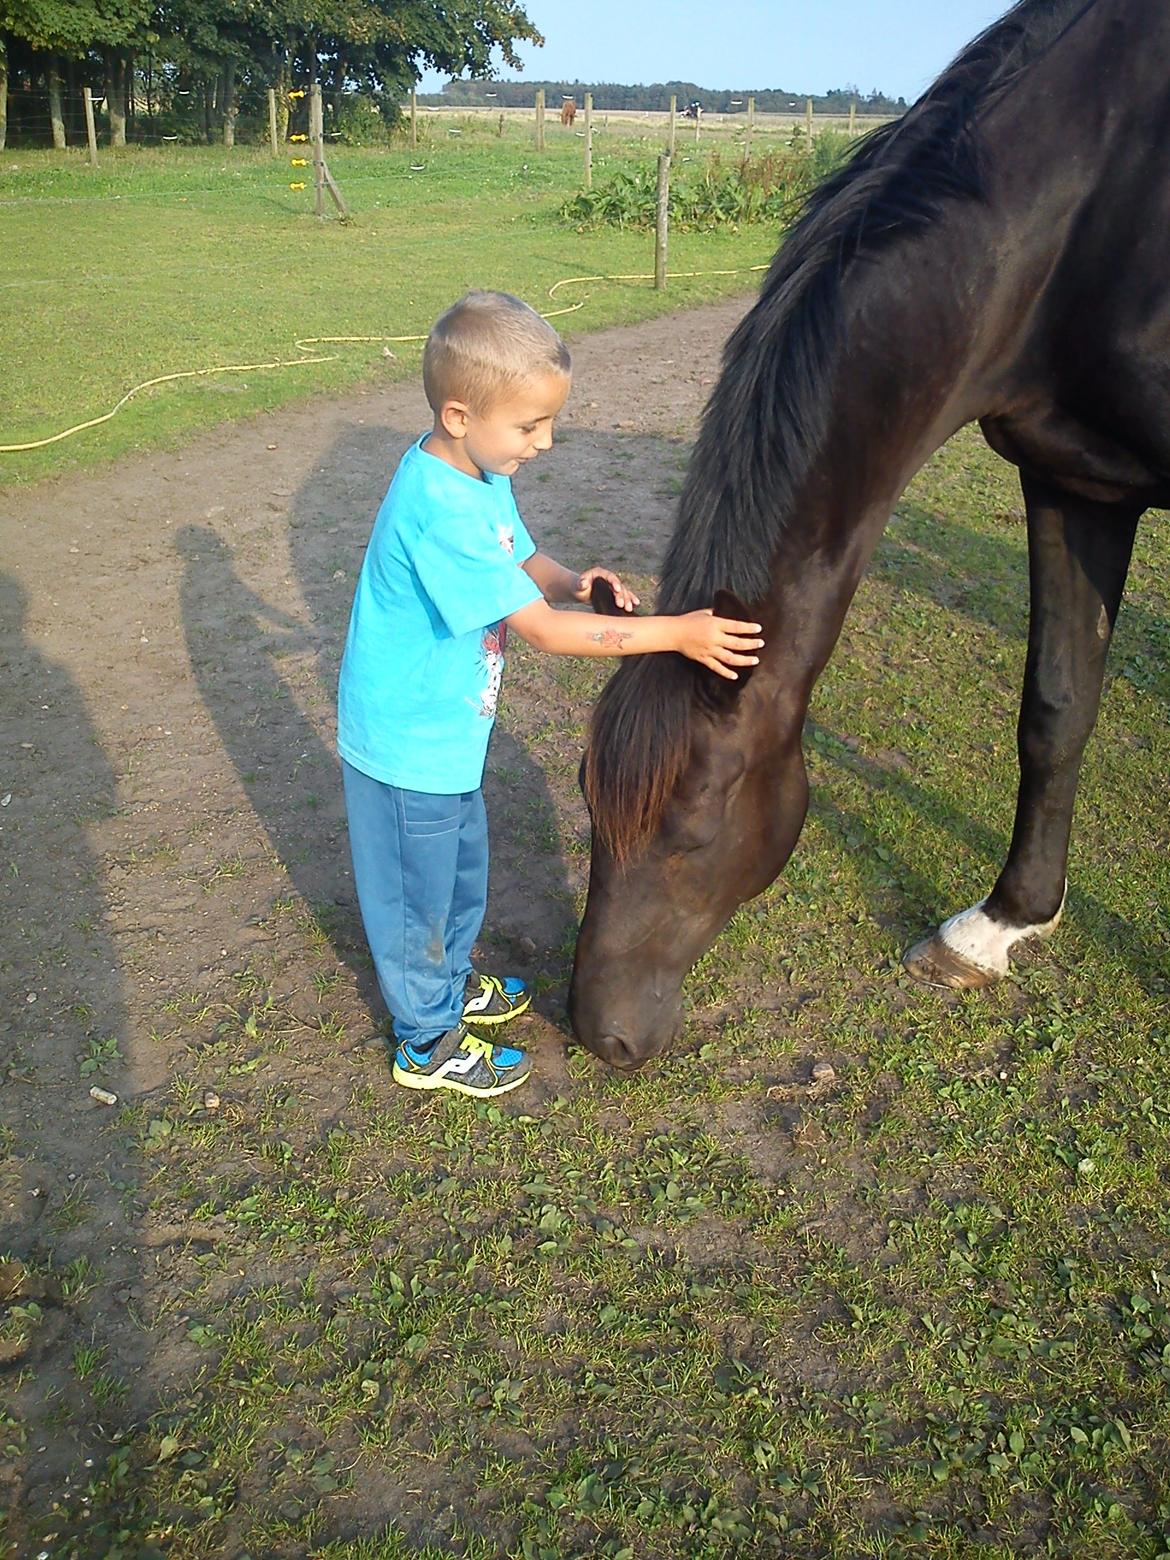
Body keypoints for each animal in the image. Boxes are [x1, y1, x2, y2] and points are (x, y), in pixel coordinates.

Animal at [574, 0, 1166, 1067]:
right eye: (587, 799)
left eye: (691, 828)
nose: (599, 1033)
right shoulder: (1075, 481)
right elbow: (1057, 709)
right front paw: (999, 926)